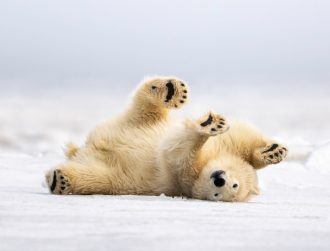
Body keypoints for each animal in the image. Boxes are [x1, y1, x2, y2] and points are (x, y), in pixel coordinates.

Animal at [45, 76, 288, 202]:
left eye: (228, 190)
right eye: (234, 184)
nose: (219, 180)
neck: (210, 162)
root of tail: (85, 146)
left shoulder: (183, 180)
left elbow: (177, 154)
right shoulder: (225, 146)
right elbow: (242, 135)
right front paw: (273, 152)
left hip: (114, 176)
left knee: (92, 177)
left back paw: (60, 179)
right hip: (143, 124)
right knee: (146, 108)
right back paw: (170, 90)